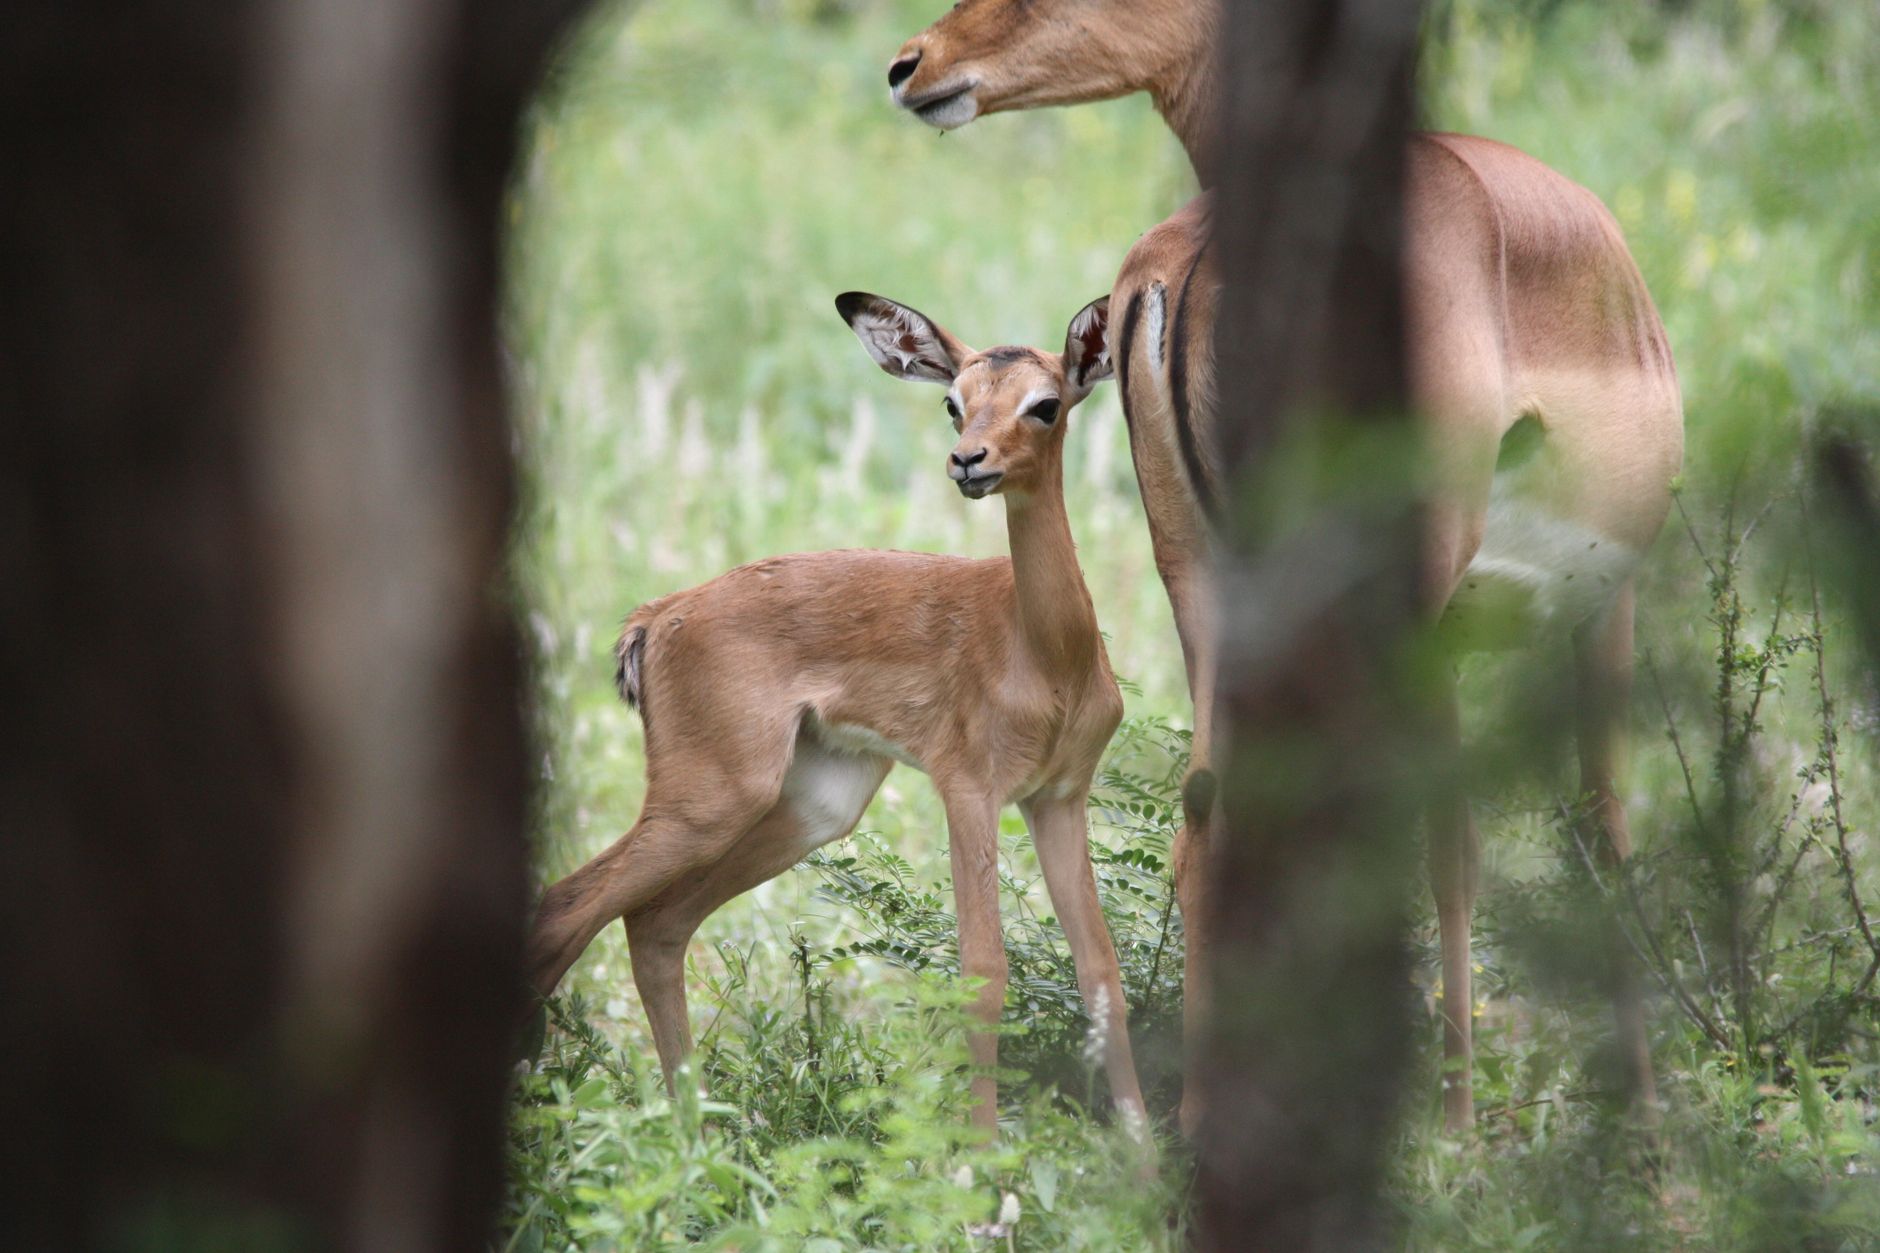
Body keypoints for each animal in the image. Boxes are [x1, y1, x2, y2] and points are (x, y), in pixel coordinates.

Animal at [524, 292, 1147, 1134]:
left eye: (1045, 403)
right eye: (954, 402)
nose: (969, 461)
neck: (1047, 653)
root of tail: (658, 616)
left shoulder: (1059, 797)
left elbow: (1101, 973)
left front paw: (1145, 1159)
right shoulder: (969, 789)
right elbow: (984, 973)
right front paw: (982, 1162)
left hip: (814, 805)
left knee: (652, 925)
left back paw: (695, 1133)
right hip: (709, 800)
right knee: (567, 909)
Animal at [887, 0, 1685, 1136]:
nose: (913, 65)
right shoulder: (1587, 600)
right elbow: (1584, 828)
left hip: (1207, 578)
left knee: (1209, 805)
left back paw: (1198, 1119)